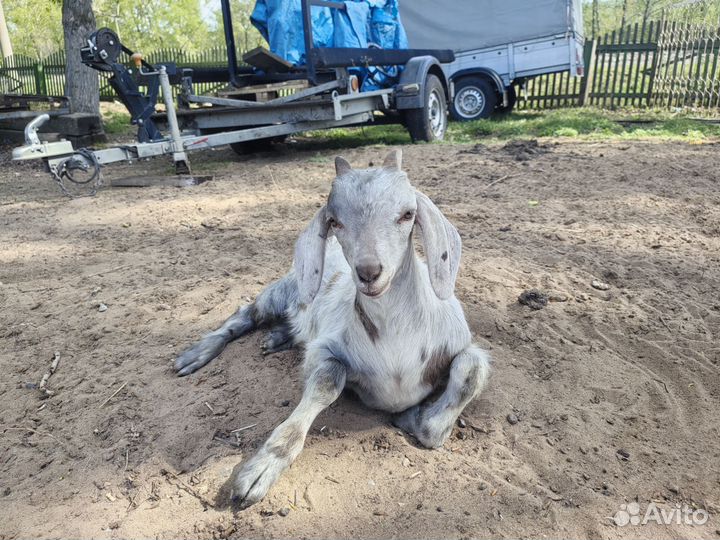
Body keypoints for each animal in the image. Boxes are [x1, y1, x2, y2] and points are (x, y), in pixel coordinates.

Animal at [174, 149, 490, 508]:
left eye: (408, 214)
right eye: (334, 221)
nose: (369, 272)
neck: (395, 336)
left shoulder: (459, 341)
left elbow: (468, 375)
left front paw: (414, 417)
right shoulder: (324, 350)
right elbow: (327, 381)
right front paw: (262, 468)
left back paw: (277, 338)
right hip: (282, 291)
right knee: (245, 314)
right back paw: (197, 354)